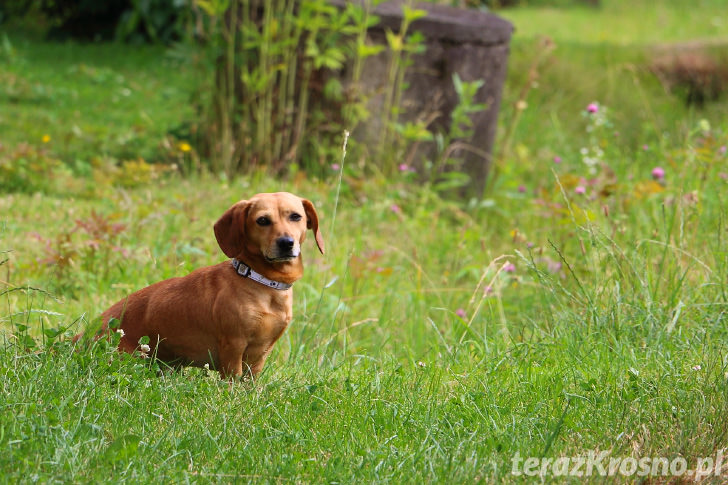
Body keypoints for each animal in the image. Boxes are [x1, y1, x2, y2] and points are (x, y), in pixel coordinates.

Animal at [96, 192, 324, 378]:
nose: (286, 243)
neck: (260, 281)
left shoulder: (260, 354)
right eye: (262, 220)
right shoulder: (233, 345)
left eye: (295, 216)